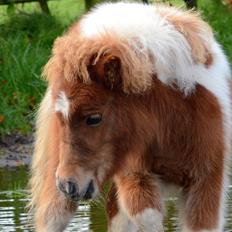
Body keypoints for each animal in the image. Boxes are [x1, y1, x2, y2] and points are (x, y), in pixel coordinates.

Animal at [29, 2, 232, 232]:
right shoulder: (135, 173)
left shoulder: (207, 180)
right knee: (52, 216)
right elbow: (147, 218)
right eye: (61, 118)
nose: (68, 185)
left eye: (94, 118)